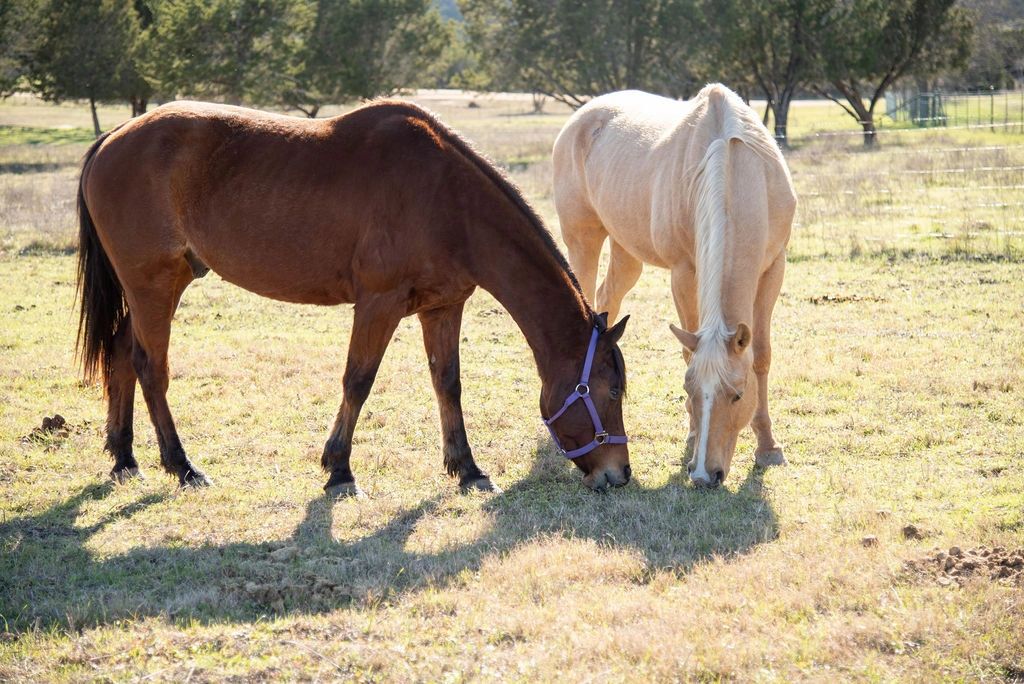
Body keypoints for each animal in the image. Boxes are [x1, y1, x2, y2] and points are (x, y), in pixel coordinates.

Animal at [75, 100, 626, 491]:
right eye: (612, 390)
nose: (619, 473)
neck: (445, 198)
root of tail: (112, 139)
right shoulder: (378, 305)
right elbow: (358, 381)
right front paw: (339, 469)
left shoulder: (443, 307)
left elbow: (447, 383)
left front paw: (466, 468)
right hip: (152, 285)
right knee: (151, 367)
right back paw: (182, 465)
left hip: (161, 285)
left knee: (122, 354)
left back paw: (124, 458)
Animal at [557, 83, 794, 485]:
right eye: (689, 390)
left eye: (737, 394)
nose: (703, 474)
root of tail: (582, 116)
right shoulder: (684, 272)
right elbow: (688, 349)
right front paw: (694, 433)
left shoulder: (773, 267)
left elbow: (761, 355)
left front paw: (768, 448)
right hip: (583, 240)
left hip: (626, 252)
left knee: (608, 297)